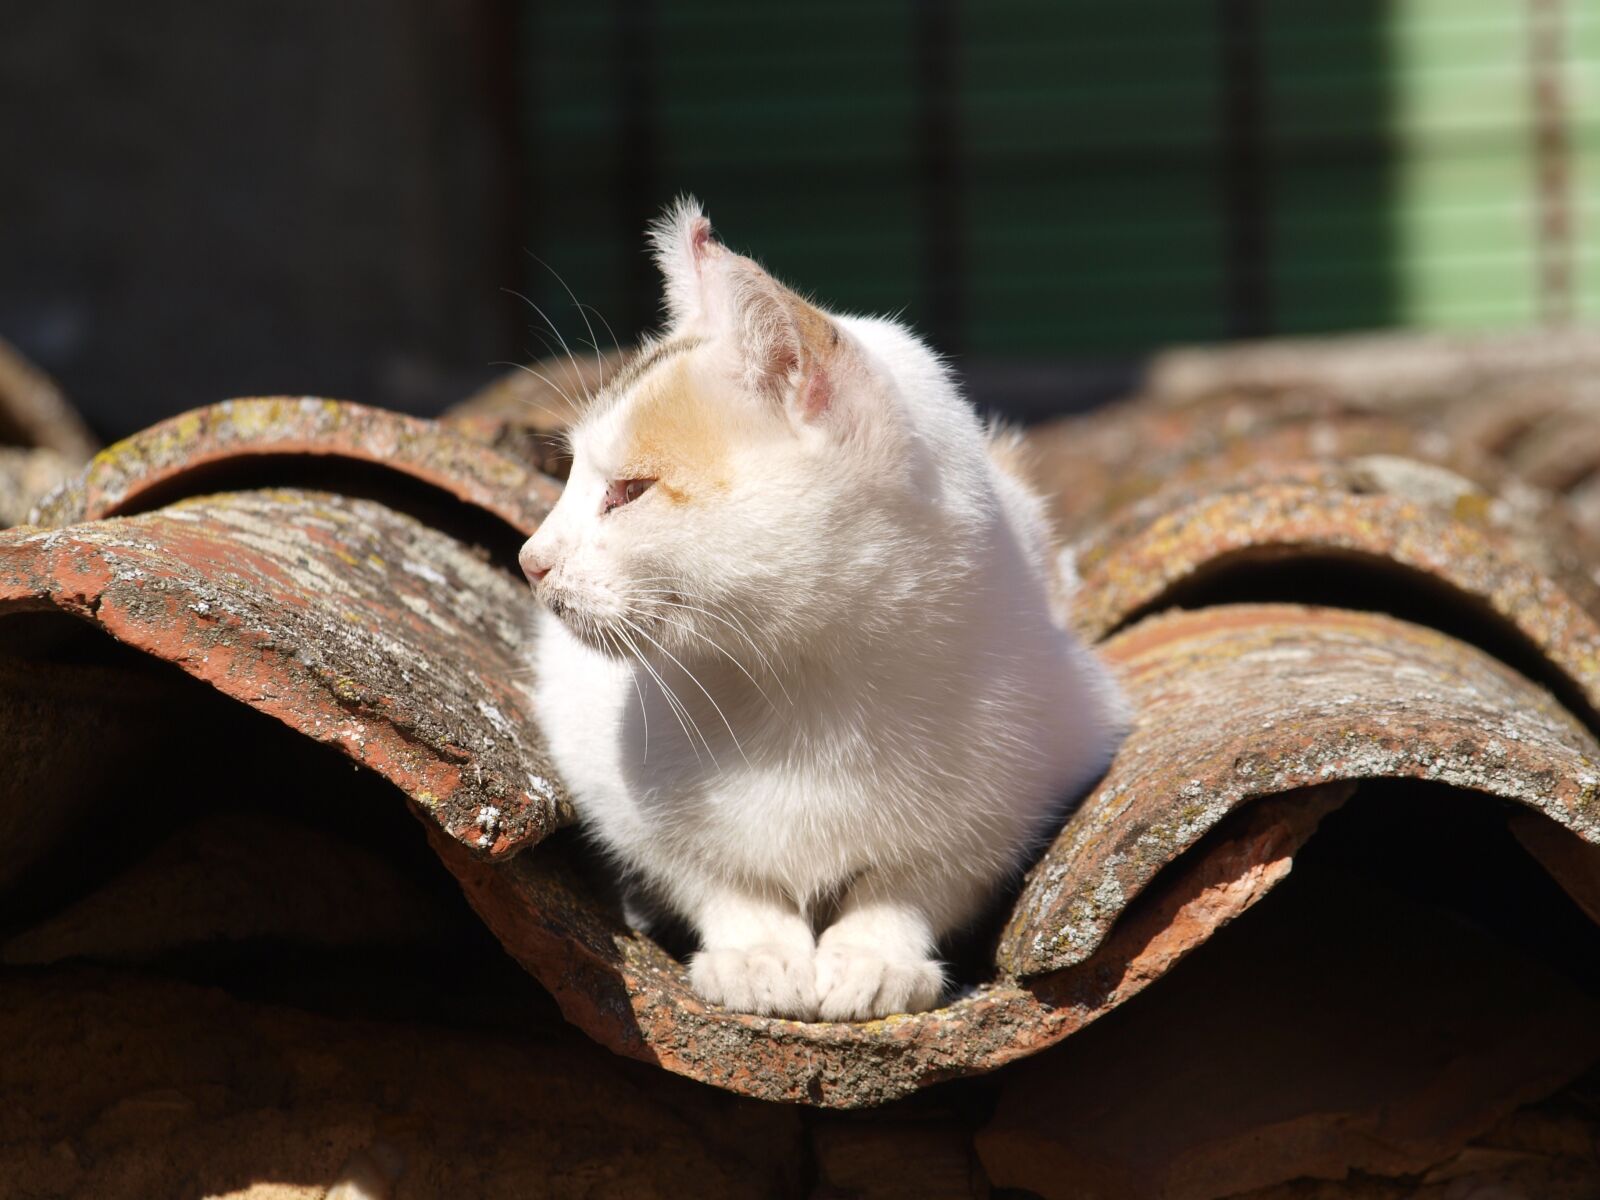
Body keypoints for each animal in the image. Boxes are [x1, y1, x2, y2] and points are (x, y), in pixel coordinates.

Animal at [518, 200, 1132, 1024]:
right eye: (574, 476)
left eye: (630, 491)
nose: (532, 559)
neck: (803, 692)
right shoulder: (601, 767)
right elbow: (712, 872)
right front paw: (758, 953)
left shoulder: (1035, 777)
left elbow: (917, 878)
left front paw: (875, 954)